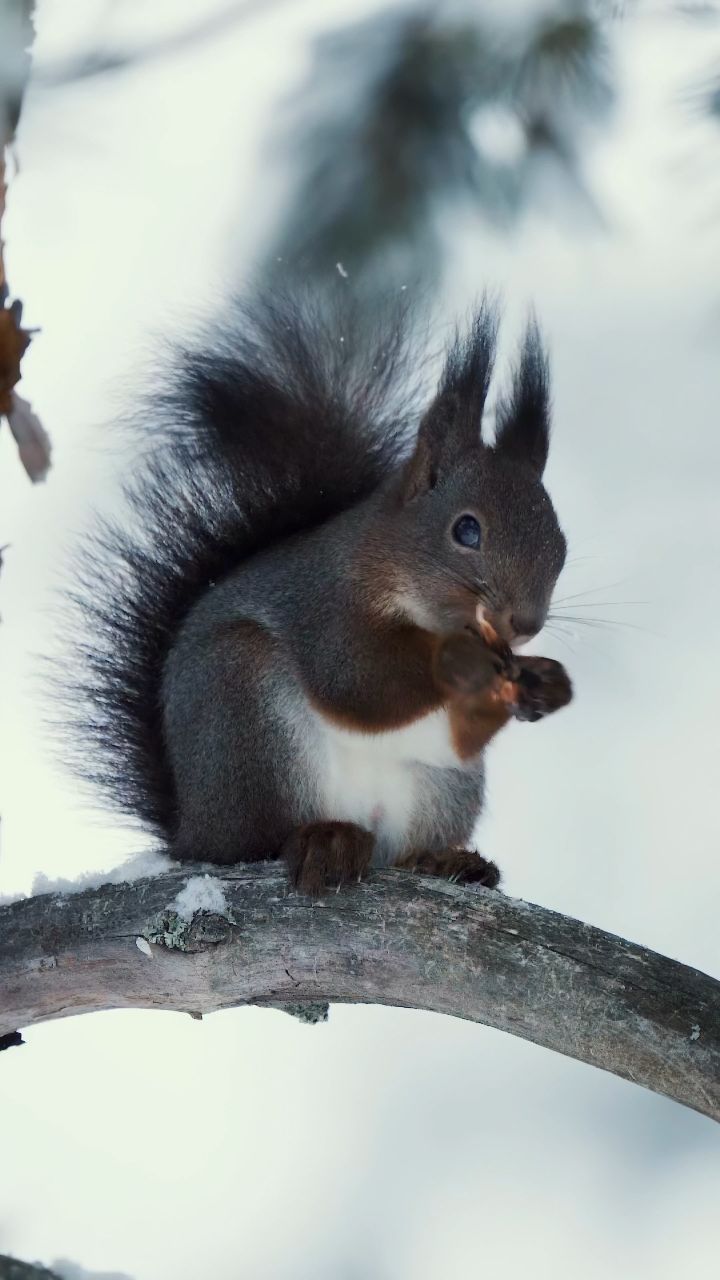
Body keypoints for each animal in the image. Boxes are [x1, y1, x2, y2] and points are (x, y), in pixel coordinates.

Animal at [68, 291, 571, 896]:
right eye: (466, 530)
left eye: (561, 544)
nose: (526, 623)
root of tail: (192, 832)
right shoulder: (325, 608)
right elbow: (358, 682)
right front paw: (472, 664)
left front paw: (545, 682)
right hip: (246, 715)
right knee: (259, 842)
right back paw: (323, 841)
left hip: (443, 789)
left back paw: (444, 861)